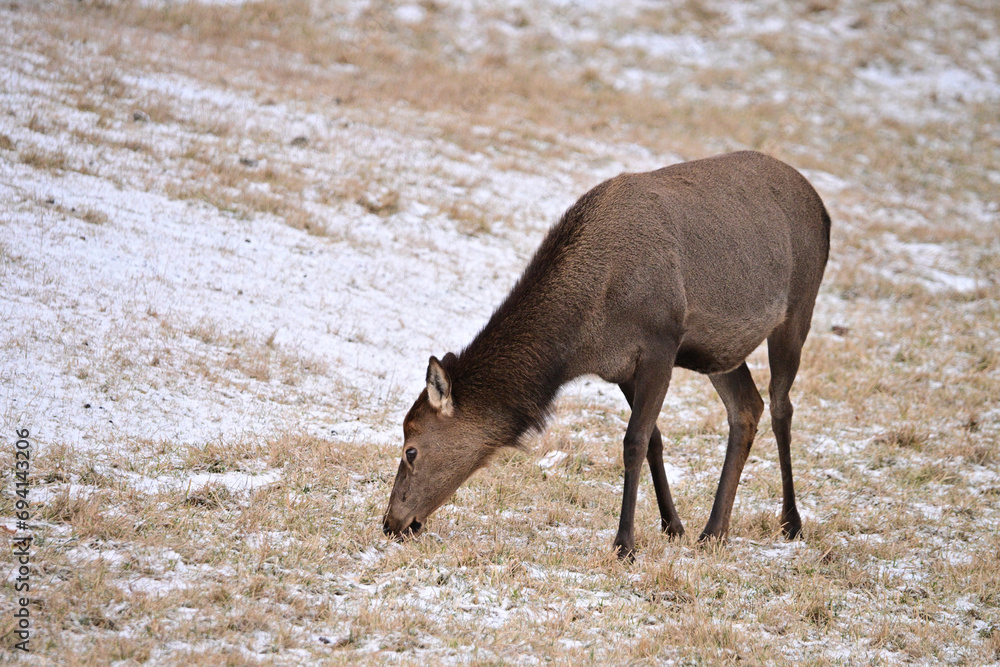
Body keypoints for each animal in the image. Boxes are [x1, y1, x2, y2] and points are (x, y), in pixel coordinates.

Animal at [382, 151, 830, 560]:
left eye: (411, 449)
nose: (391, 522)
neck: (584, 334)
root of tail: (822, 207)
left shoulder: (660, 342)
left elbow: (633, 442)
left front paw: (625, 544)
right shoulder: (621, 368)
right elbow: (653, 440)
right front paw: (672, 526)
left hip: (799, 308)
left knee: (781, 406)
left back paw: (791, 522)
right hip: (720, 351)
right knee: (746, 408)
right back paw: (714, 531)